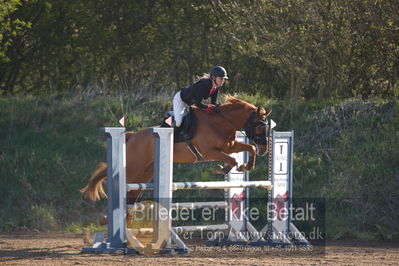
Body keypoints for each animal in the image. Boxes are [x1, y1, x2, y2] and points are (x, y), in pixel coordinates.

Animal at [81, 95, 276, 204]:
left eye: (268, 127)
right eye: (260, 127)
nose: (265, 150)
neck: (221, 121)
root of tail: (131, 135)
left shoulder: (230, 146)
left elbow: (249, 147)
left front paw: (246, 166)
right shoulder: (209, 152)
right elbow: (232, 159)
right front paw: (222, 169)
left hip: (144, 174)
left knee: (131, 197)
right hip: (134, 171)